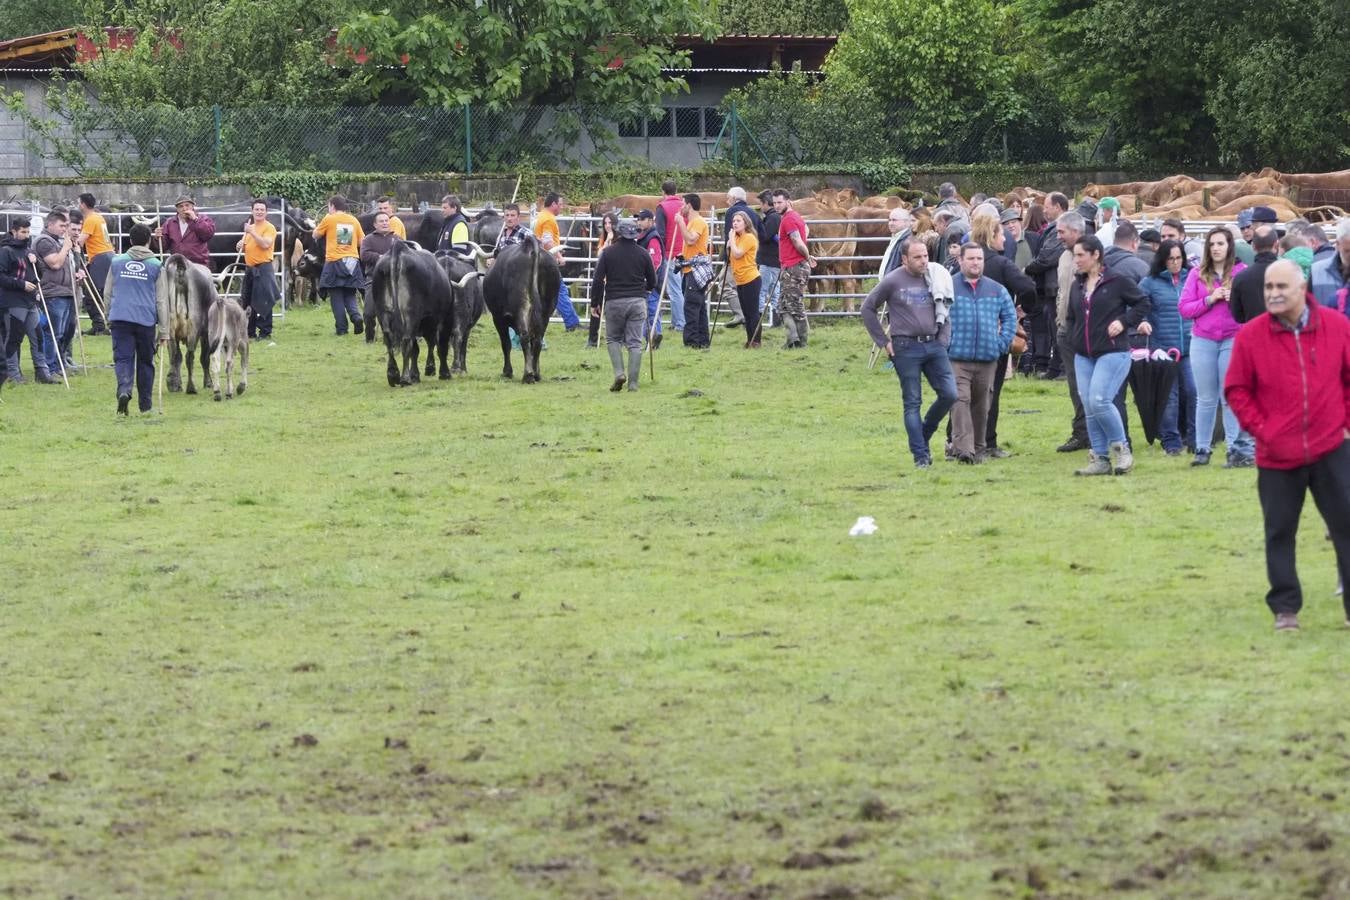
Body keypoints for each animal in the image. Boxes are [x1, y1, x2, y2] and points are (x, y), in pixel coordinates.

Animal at [369, 241, 453, 385]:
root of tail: (398, 248)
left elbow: (416, 349)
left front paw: (416, 375)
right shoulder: (441, 320)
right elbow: (438, 346)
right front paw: (438, 371)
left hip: (382, 312)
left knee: (389, 339)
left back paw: (393, 375)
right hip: (410, 314)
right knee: (406, 341)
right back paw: (405, 378)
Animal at [483, 232, 556, 383]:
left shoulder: (498, 318)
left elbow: (506, 343)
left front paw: (507, 372)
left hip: (521, 307)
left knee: (525, 336)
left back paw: (528, 375)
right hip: (547, 309)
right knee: (537, 339)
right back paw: (536, 374)